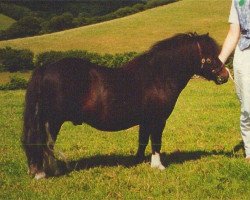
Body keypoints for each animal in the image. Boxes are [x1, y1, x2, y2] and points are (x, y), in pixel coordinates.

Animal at [23, 32, 229, 180]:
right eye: (210, 57)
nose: (225, 75)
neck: (158, 77)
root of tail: (46, 68)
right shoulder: (157, 120)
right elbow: (156, 141)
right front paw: (158, 166)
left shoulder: (145, 120)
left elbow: (142, 140)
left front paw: (138, 161)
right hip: (52, 120)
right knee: (43, 142)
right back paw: (44, 173)